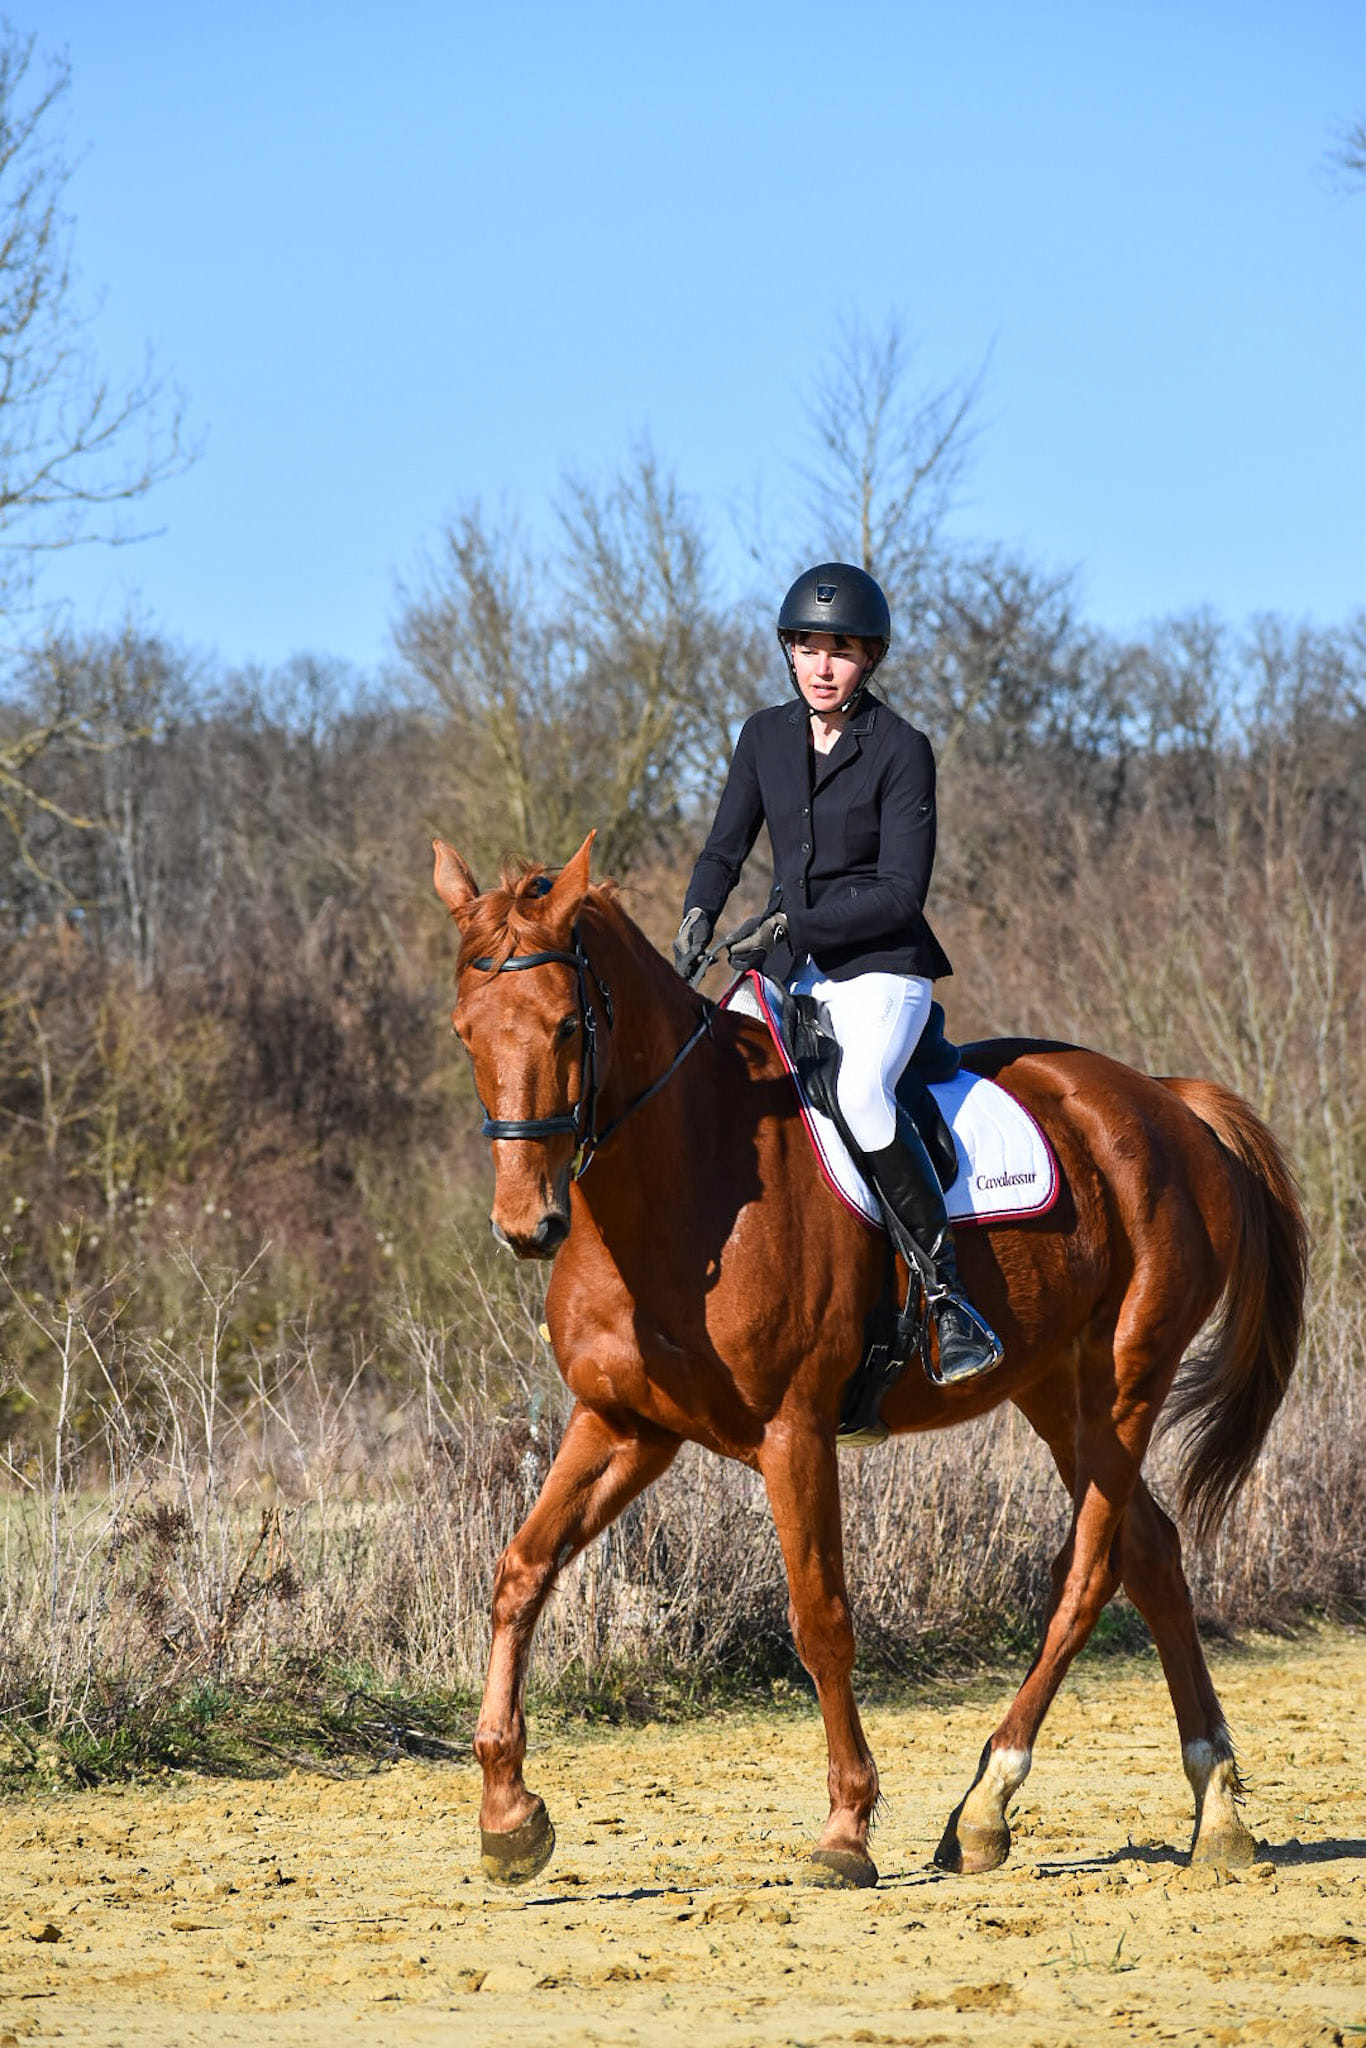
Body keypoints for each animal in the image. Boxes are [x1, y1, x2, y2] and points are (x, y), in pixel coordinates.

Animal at [436, 831, 1302, 1884]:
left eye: (568, 1025)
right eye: (466, 1033)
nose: (527, 1226)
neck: (683, 1174)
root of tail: (1169, 1102)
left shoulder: (794, 1432)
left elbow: (821, 1619)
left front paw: (847, 1828)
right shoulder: (626, 1425)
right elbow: (520, 1572)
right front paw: (508, 1813)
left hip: (1125, 1379)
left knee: (1091, 1572)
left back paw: (988, 1802)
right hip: (1056, 1390)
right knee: (1153, 1554)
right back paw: (1215, 1811)